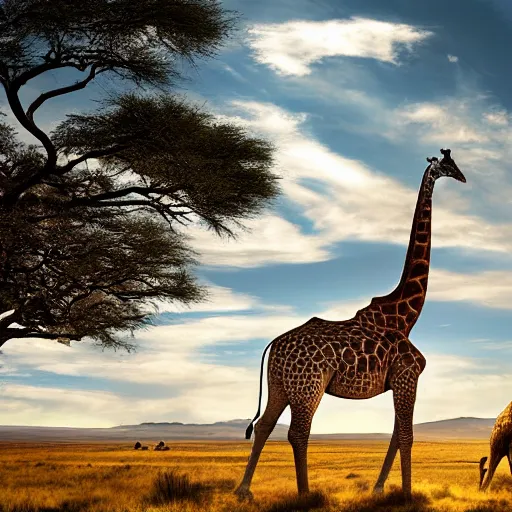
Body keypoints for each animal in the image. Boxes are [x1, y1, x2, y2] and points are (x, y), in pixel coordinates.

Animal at [236, 148, 468, 500]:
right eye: (448, 165)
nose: (464, 177)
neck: (405, 316)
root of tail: (274, 344)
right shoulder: (408, 376)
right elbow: (406, 436)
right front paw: (407, 494)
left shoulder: (399, 381)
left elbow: (395, 435)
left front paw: (379, 488)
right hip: (309, 385)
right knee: (298, 432)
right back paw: (305, 495)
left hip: (280, 383)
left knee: (264, 426)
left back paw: (244, 491)